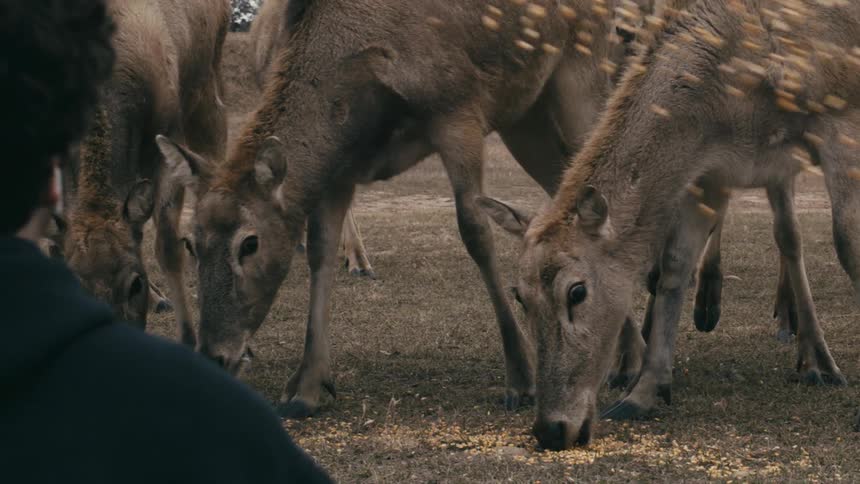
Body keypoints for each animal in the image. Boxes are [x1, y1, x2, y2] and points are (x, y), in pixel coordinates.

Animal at [480, 0, 859, 450]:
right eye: (519, 295)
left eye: (577, 291)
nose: (551, 429)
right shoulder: (709, 172)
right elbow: (675, 266)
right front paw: (642, 392)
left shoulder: (841, 122)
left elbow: (847, 243)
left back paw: (816, 358)